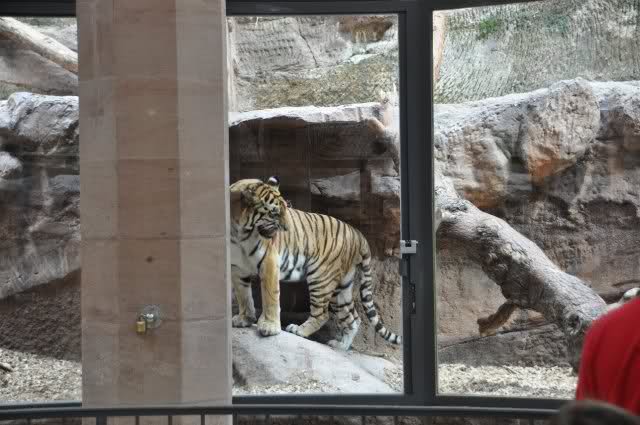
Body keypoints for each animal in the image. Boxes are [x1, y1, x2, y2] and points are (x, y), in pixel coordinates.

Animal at [229, 176, 402, 350]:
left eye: (286, 209)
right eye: (274, 213)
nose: (287, 229)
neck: (240, 231)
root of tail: (358, 234)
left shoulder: (269, 262)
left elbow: (270, 296)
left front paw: (269, 327)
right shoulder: (237, 268)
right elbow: (243, 295)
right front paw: (244, 319)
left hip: (321, 278)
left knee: (323, 314)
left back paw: (299, 330)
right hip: (341, 288)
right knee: (353, 318)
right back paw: (340, 346)